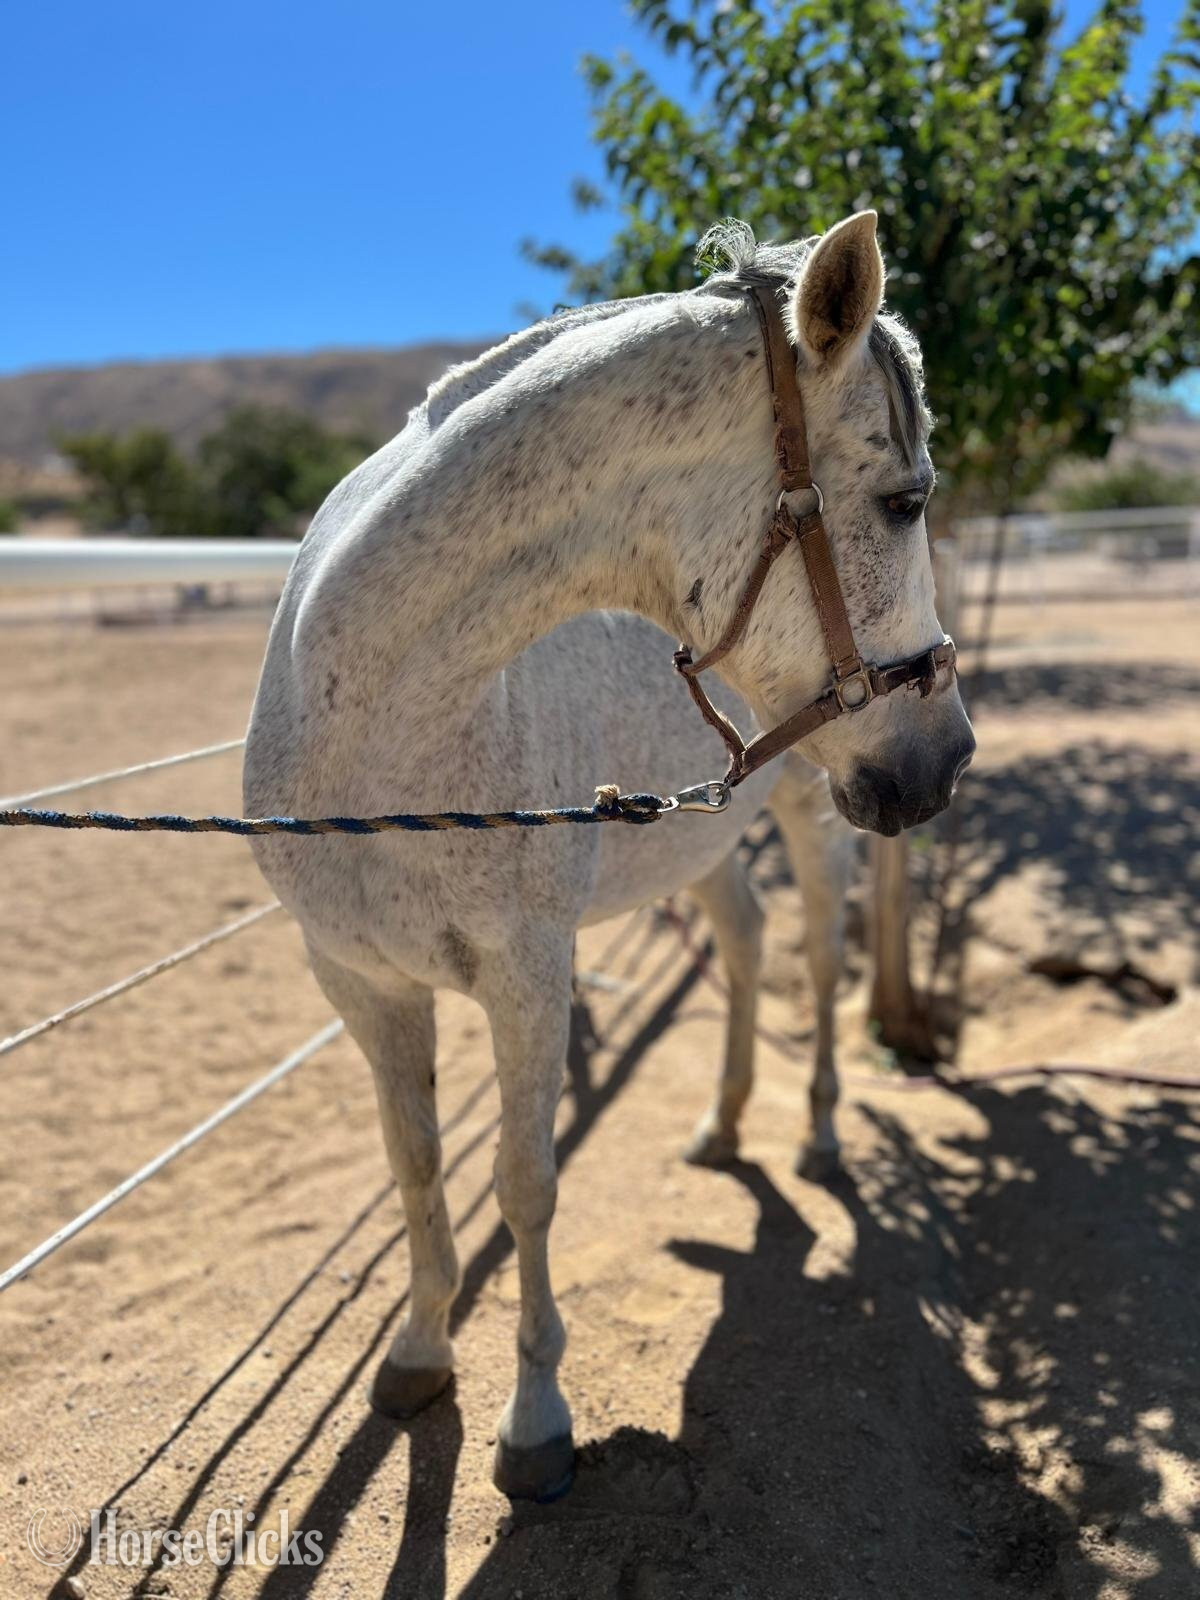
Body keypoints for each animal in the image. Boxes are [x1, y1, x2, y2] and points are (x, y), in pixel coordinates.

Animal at [243, 209, 974, 1501]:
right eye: (902, 501)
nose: (951, 752)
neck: (374, 726)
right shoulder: (360, 982)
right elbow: (416, 1165)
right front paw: (421, 1349)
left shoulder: (530, 977)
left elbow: (524, 1183)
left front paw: (536, 1419)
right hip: (710, 836)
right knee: (743, 941)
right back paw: (725, 1125)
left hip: (813, 814)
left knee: (818, 959)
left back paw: (819, 1129)